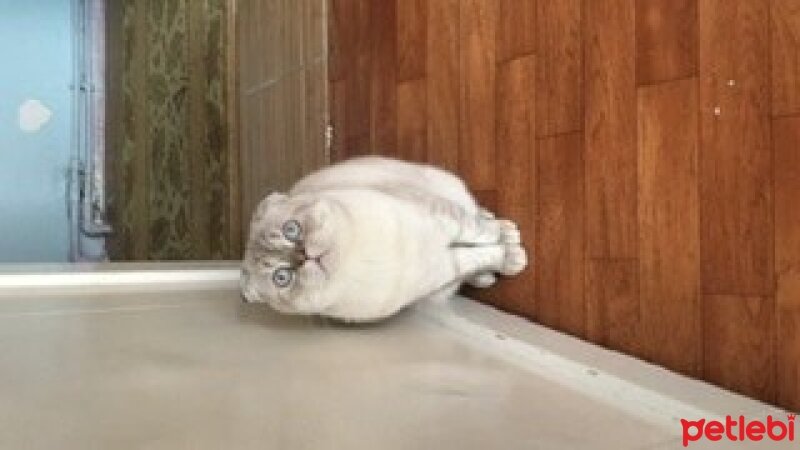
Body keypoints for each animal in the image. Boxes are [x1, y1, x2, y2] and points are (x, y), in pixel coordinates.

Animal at [242, 156, 532, 322]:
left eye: (291, 230)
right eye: (282, 277)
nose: (304, 256)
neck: (355, 255)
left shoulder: (444, 218)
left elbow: (481, 235)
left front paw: (511, 250)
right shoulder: (441, 267)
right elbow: (476, 256)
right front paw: (511, 258)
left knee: (478, 216)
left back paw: (504, 232)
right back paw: (488, 275)